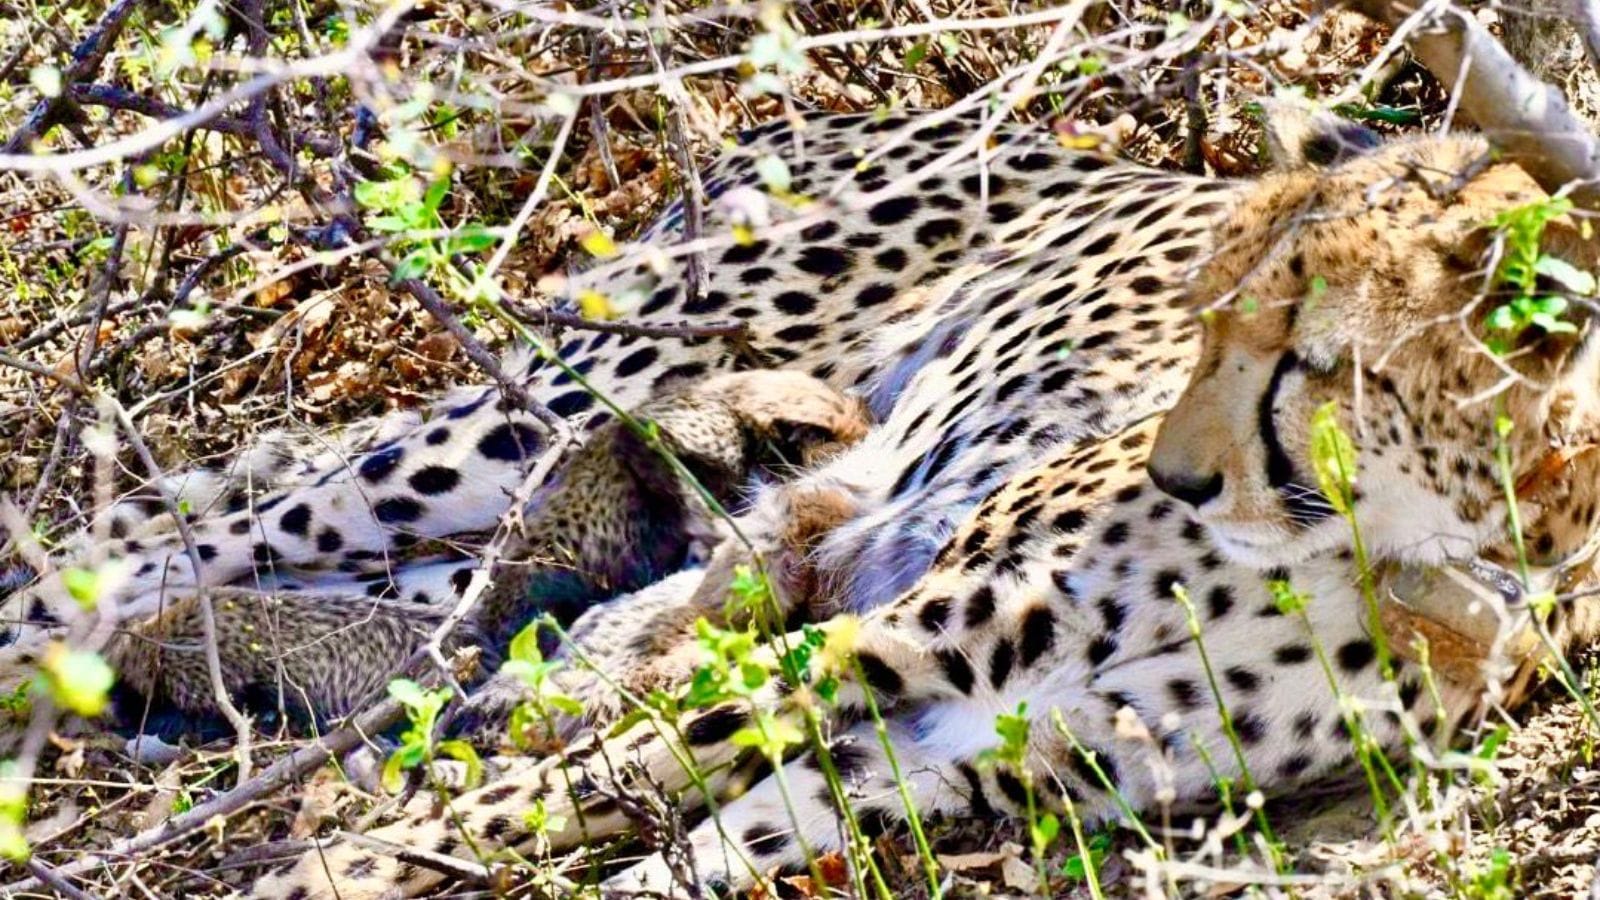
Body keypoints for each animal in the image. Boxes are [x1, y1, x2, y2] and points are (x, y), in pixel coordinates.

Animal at [8, 107, 1596, 897]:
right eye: (1202, 323)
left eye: (1307, 356)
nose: (1176, 473)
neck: (1418, 544)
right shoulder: (896, 638)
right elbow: (558, 791)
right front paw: (322, 878)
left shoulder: (992, 750)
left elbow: (688, 838)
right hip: (559, 400)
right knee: (163, 538)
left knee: (418, 612)